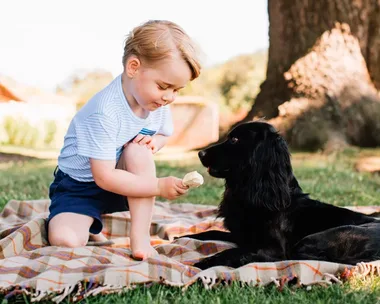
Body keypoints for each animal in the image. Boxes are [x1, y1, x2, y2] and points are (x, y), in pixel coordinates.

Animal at [183, 121, 378, 268]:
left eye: (235, 139)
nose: (200, 153)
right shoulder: (241, 236)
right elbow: (209, 232)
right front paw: (181, 238)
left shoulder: (273, 249)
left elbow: (232, 251)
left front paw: (203, 263)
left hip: (312, 240)